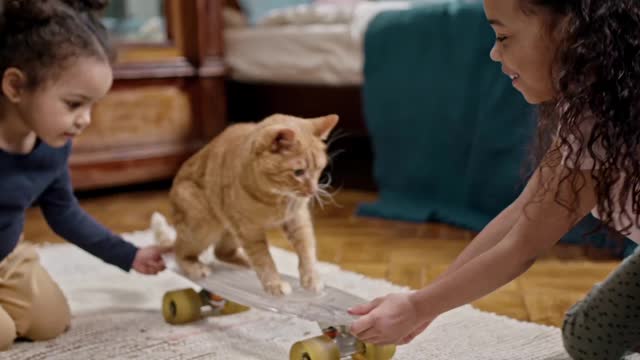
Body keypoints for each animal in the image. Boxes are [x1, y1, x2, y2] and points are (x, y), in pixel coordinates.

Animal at [168, 113, 338, 296]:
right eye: (299, 172)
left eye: (319, 169)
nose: (313, 191)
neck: (276, 198)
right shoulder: (249, 231)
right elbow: (264, 260)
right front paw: (274, 283)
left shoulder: (298, 220)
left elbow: (307, 250)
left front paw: (311, 278)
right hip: (203, 228)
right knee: (179, 251)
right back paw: (195, 267)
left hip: (229, 232)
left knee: (221, 252)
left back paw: (246, 263)